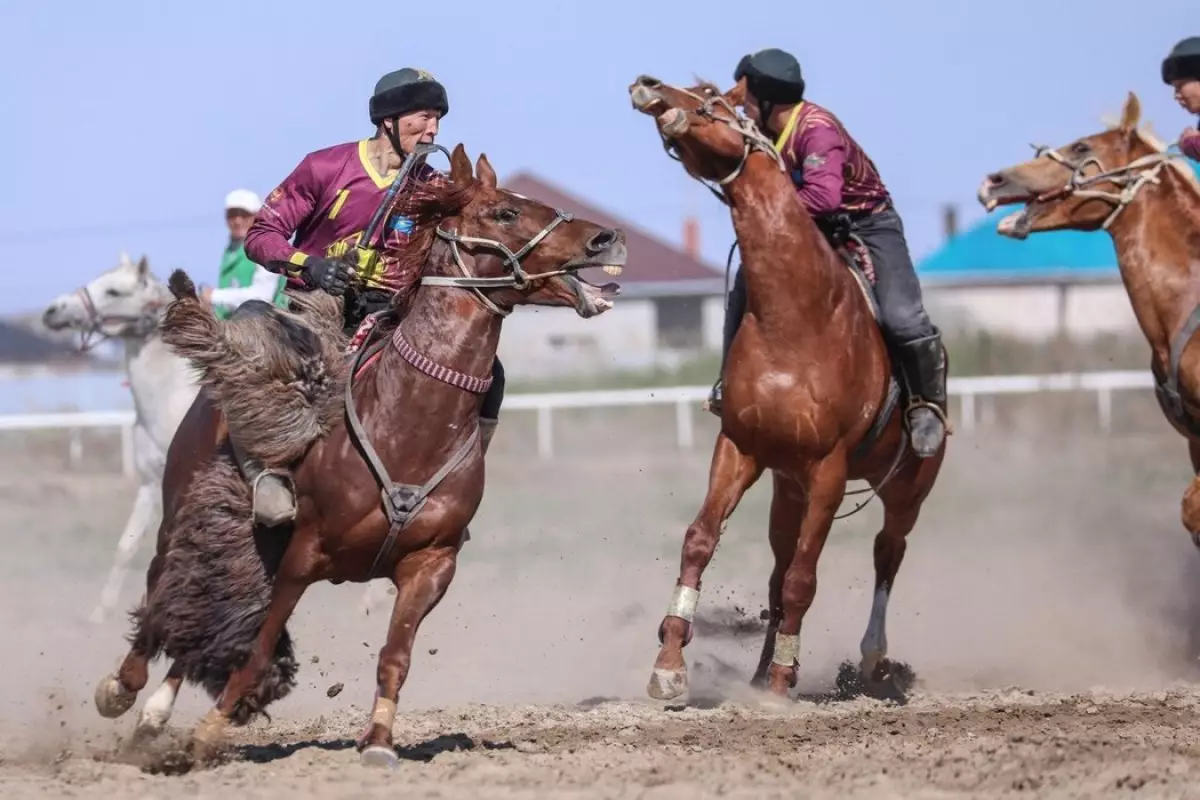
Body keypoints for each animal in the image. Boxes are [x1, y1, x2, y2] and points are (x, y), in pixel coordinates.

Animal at [41, 253, 198, 623]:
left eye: (113, 291)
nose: (53, 311)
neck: (172, 399)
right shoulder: (151, 482)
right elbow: (127, 545)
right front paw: (101, 612)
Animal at [628, 74, 945, 700]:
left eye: (712, 97)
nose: (648, 84)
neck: (797, 318)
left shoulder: (829, 470)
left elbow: (804, 578)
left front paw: (779, 686)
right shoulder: (740, 448)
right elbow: (702, 540)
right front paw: (670, 664)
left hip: (906, 491)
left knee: (886, 554)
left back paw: (870, 661)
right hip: (786, 488)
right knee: (779, 569)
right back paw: (760, 670)